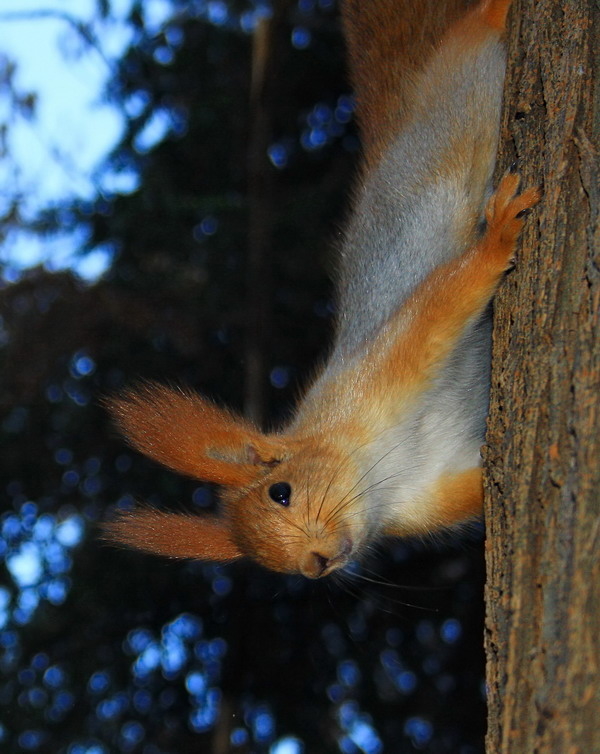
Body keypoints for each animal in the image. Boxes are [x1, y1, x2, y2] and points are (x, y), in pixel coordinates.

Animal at [104, 0, 540, 580]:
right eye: (268, 565)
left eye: (281, 492)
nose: (314, 565)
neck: (383, 471)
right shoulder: (425, 500)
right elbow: (476, 491)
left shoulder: (380, 369)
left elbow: (447, 296)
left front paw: (497, 241)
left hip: (459, 97)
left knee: (472, 38)